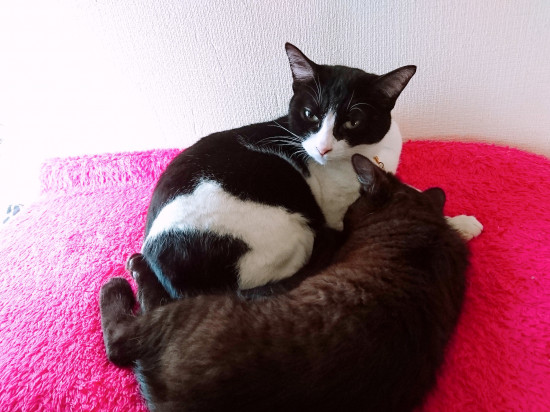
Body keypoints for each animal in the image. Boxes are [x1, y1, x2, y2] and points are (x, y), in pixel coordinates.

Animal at [141, 42, 481, 299]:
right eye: (310, 115)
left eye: (353, 122)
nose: (322, 148)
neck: (368, 155)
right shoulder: (339, 211)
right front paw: (457, 222)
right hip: (288, 225)